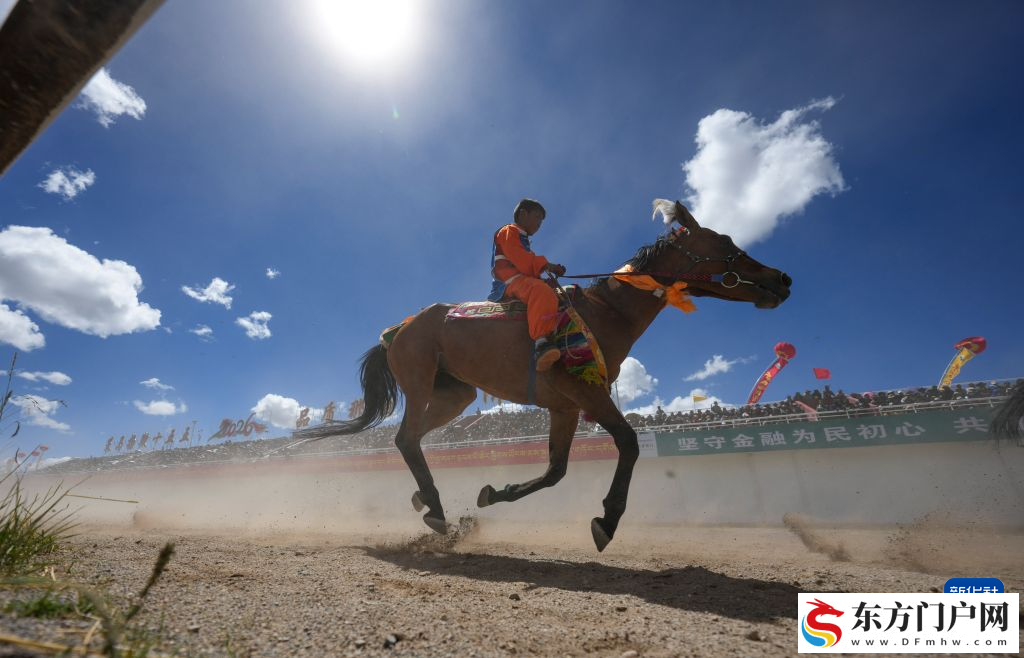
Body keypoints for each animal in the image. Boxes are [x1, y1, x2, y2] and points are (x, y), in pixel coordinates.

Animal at [300, 199, 792, 551]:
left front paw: (493, 493)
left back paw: (426, 498)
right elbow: (628, 443)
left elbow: (555, 471)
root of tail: (398, 330)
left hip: (454, 395)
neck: (605, 313)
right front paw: (607, 520)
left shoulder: (566, 407)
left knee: (414, 439)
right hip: (419, 380)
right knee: (404, 438)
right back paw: (436, 509)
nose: (782, 279)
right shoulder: (587, 392)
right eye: (725, 242)